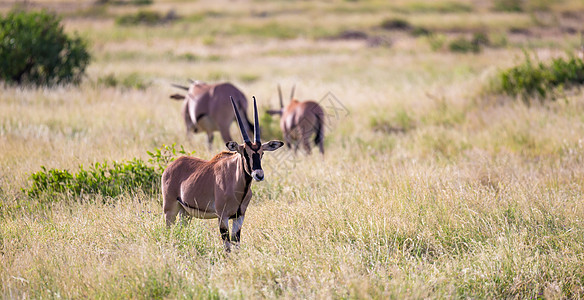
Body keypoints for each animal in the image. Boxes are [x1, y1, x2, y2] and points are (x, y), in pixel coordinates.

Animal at [161, 96, 284, 251]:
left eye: (262, 153)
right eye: (245, 153)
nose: (259, 175)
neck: (237, 184)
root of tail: (170, 166)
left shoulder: (239, 217)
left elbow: (236, 243)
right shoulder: (222, 217)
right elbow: (227, 246)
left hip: (185, 212)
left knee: (180, 229)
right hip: (170, 209)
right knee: (168, 230)